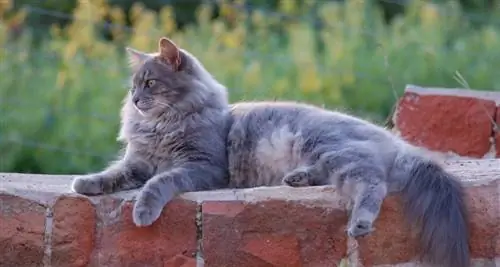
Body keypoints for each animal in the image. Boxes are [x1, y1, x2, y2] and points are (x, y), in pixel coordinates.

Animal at [72, 36, 230, 227]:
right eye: (133, 87)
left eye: (150, 83)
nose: (134, 100)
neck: (161, 126)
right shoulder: (137, 163)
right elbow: (113, 172)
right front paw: (85, 182)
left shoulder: (203, 165)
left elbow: (158, 181)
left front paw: (143, 212)